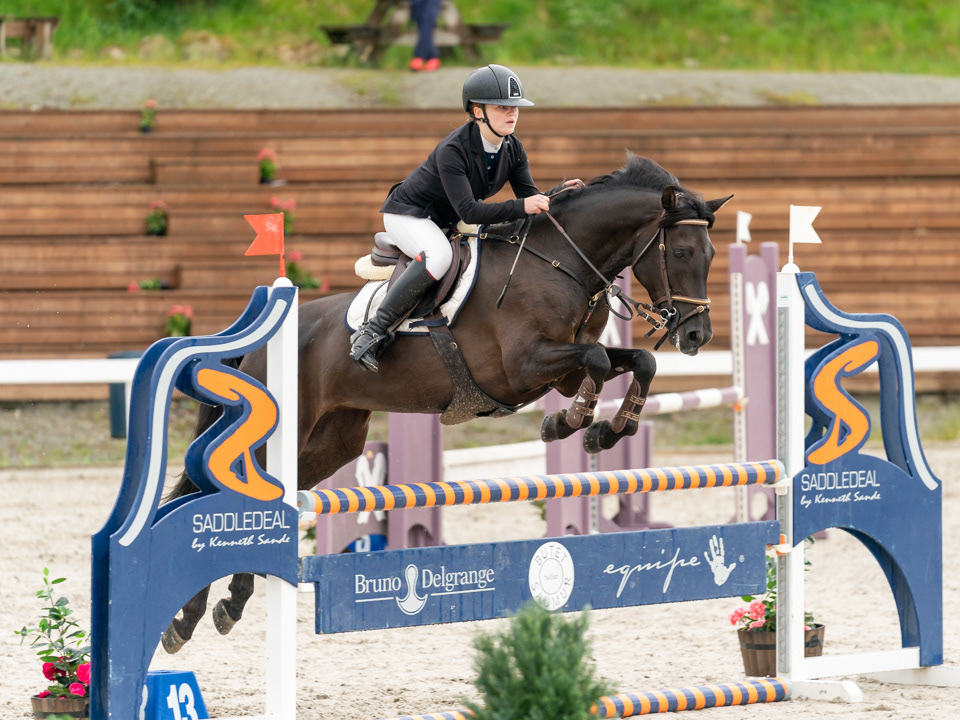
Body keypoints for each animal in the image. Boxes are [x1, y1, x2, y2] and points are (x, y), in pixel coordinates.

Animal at [160, 153, 731, 653]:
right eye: (680, 253)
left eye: (710, 255)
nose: (697, 336)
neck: (560, 262)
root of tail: (259, 342)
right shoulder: (523, 367)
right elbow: (595, 358)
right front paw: (566, 424)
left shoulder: (563, 372)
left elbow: (639, 362)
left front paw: (604, 430)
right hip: (277, 435)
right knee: (224, 499)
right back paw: (189, 618)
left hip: (331, 443)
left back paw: (222, 607)